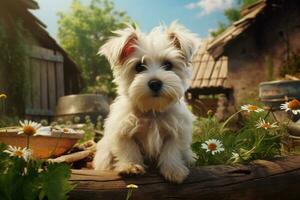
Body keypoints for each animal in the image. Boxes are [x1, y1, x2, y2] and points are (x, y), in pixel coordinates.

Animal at [94, 21, 199, 183]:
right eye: (139, 66)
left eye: (168, 65)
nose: (155, 83)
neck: (152, 111)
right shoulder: (122, 131)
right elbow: (128, 149)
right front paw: (130, 166)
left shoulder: (177, 131)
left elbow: (172, 151)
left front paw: (174, 170)